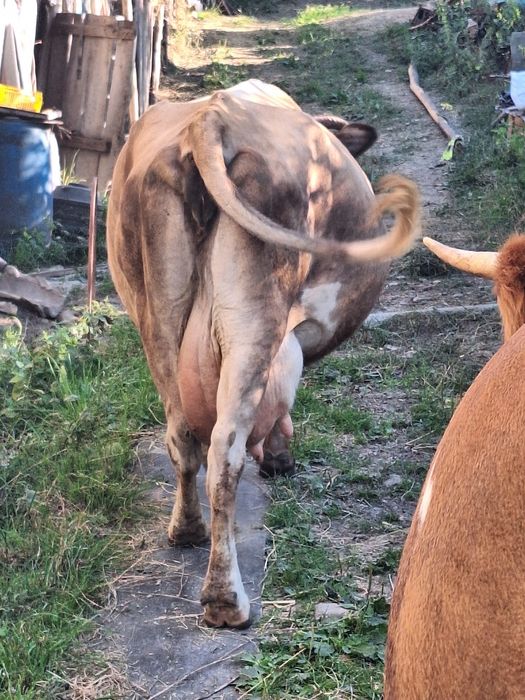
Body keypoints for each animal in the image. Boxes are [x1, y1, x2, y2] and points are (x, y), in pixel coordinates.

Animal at [107, 79, 420, 629]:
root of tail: (209, 120)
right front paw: (278, 456)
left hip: (156, 319)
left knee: (182, 437)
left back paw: (186, 531)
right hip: (255, 322)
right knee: (225, 452)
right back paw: (225, 601)